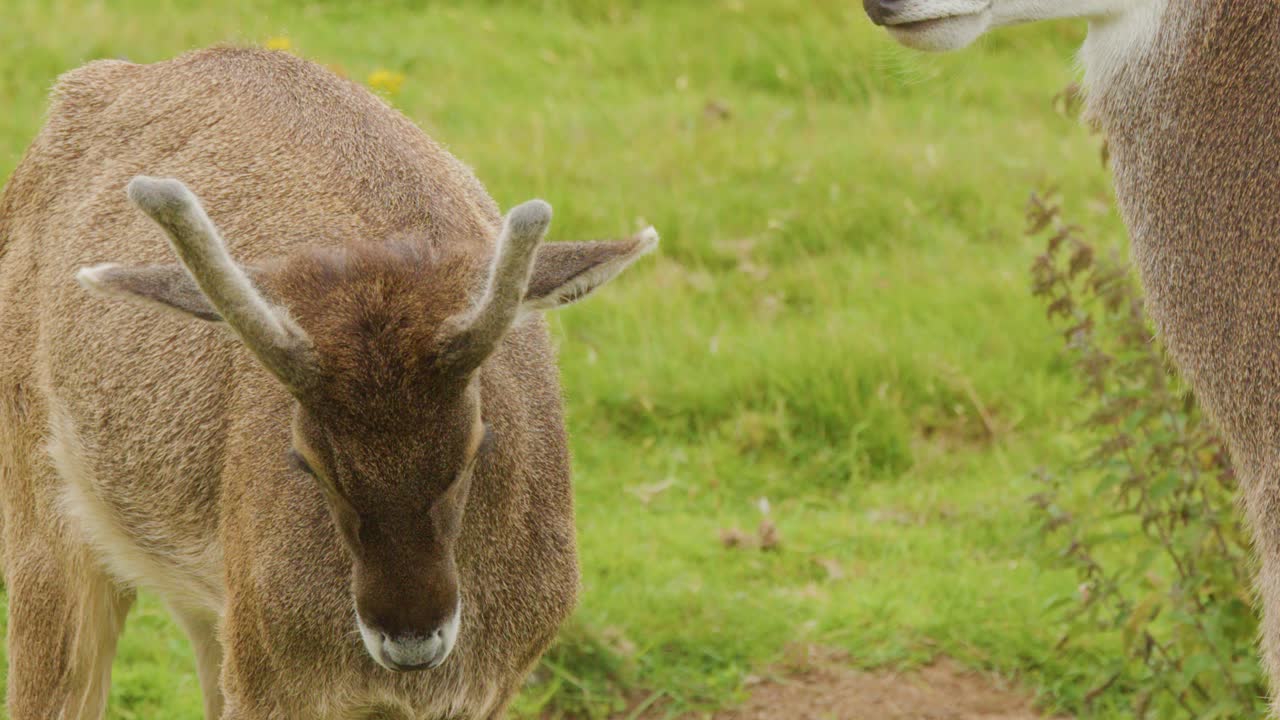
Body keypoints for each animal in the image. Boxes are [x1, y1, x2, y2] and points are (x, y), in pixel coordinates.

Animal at [0, 46, 657, 719]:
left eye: (475, 446)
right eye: (307, 460)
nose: (410, 636)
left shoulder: (498, 678)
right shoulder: (269, 672)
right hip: (40, 506)